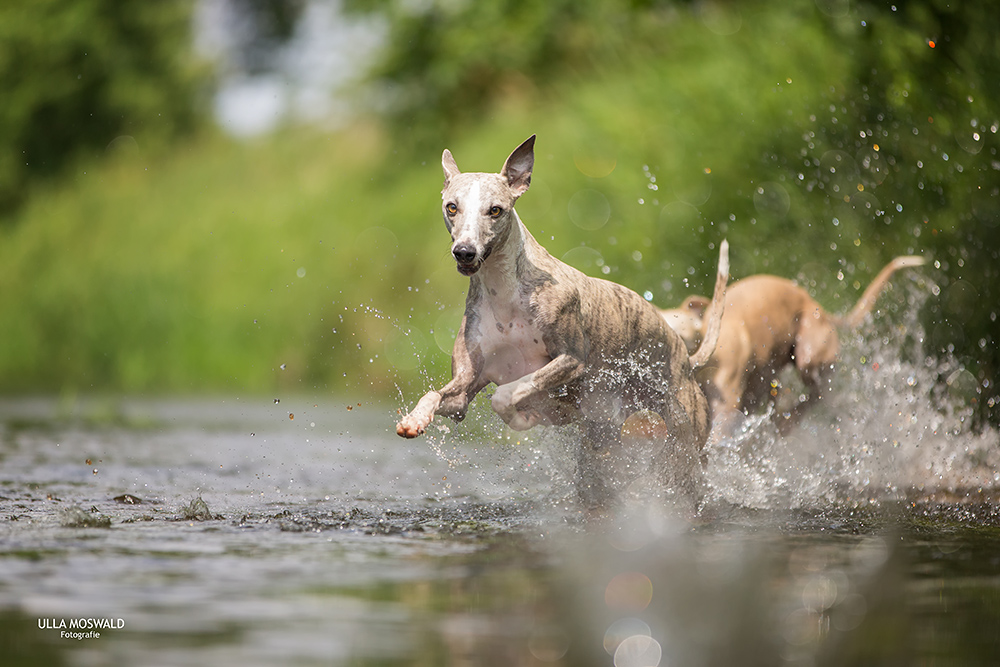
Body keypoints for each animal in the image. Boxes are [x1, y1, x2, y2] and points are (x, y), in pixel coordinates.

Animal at [660, 256, 924, 434]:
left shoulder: (726, 406)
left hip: (809, 353)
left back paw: (789, 419)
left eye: (675, 334)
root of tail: (816, 305)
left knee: (820, 393)